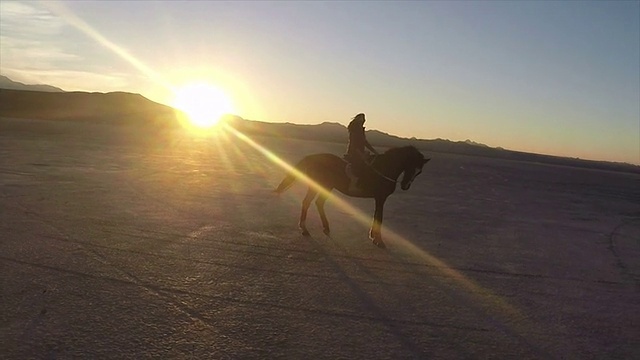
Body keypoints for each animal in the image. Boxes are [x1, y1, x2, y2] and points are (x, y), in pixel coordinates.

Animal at [274, 146, 430, 248]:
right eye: (411, 166)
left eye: (419, 171)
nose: (405, 186)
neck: (384, 169)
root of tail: (312, 157)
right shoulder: (381, 198)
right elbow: (379, 217)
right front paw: (379, 240)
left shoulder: (378, 198)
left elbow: (376, 216)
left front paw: (373, 236)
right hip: (317, 185)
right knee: (307, 202)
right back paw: (304, 229)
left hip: (327, 187)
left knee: (319, 203)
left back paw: (326, 228)